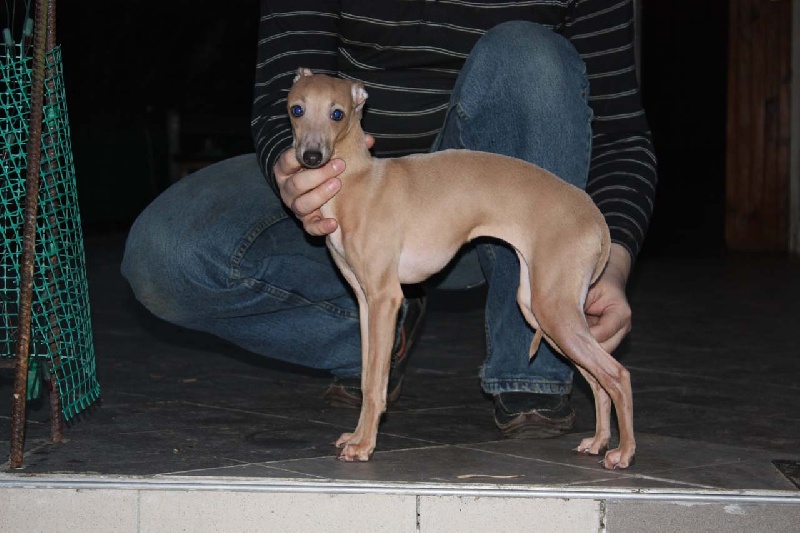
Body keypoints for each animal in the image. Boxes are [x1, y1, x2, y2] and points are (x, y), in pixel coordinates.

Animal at [288, 67, 636, 470]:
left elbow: (375, 384)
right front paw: (357, 437)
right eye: (297, 109)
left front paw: (364, 446)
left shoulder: (386, 299)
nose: (312, 156)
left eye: (337, 113)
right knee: (598, 380)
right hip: (540, 310)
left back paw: (624, 453)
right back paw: (598, 442)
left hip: (554, 310)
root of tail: (593, 214)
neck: (361, 182)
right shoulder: (364, 302)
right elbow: (366, 377)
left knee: (617, 374)